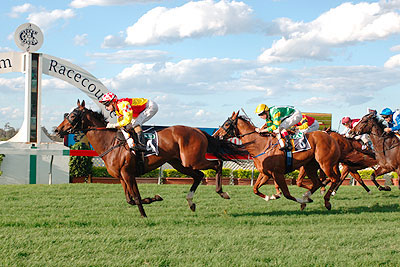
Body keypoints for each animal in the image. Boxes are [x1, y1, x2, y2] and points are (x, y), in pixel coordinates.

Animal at [54, 100, 245, 218]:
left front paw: (144, 214)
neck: (111, 142)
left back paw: (222, 192)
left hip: (192, 159)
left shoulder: (128, 174)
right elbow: (130, 199)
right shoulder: (121, 177)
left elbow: (136, 198)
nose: (57, 130)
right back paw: (191, 202)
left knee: (217, 163)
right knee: (199, 175)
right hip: (180, 163)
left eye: (72, 116)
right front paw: (155, 198)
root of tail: (199, 131)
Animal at [212, 111, 340, 211]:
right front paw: (270, 197)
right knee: (317, 182)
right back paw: (307, 196)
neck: (261, 145)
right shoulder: (265, 173)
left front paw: (300, 201)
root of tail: (331, 137)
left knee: (334, 179)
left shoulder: (278, 173)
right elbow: (255, 189)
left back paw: (326, 201)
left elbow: (287, 194)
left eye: (227, 124)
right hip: (310, 166)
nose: (215, 135)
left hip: (325, 164)